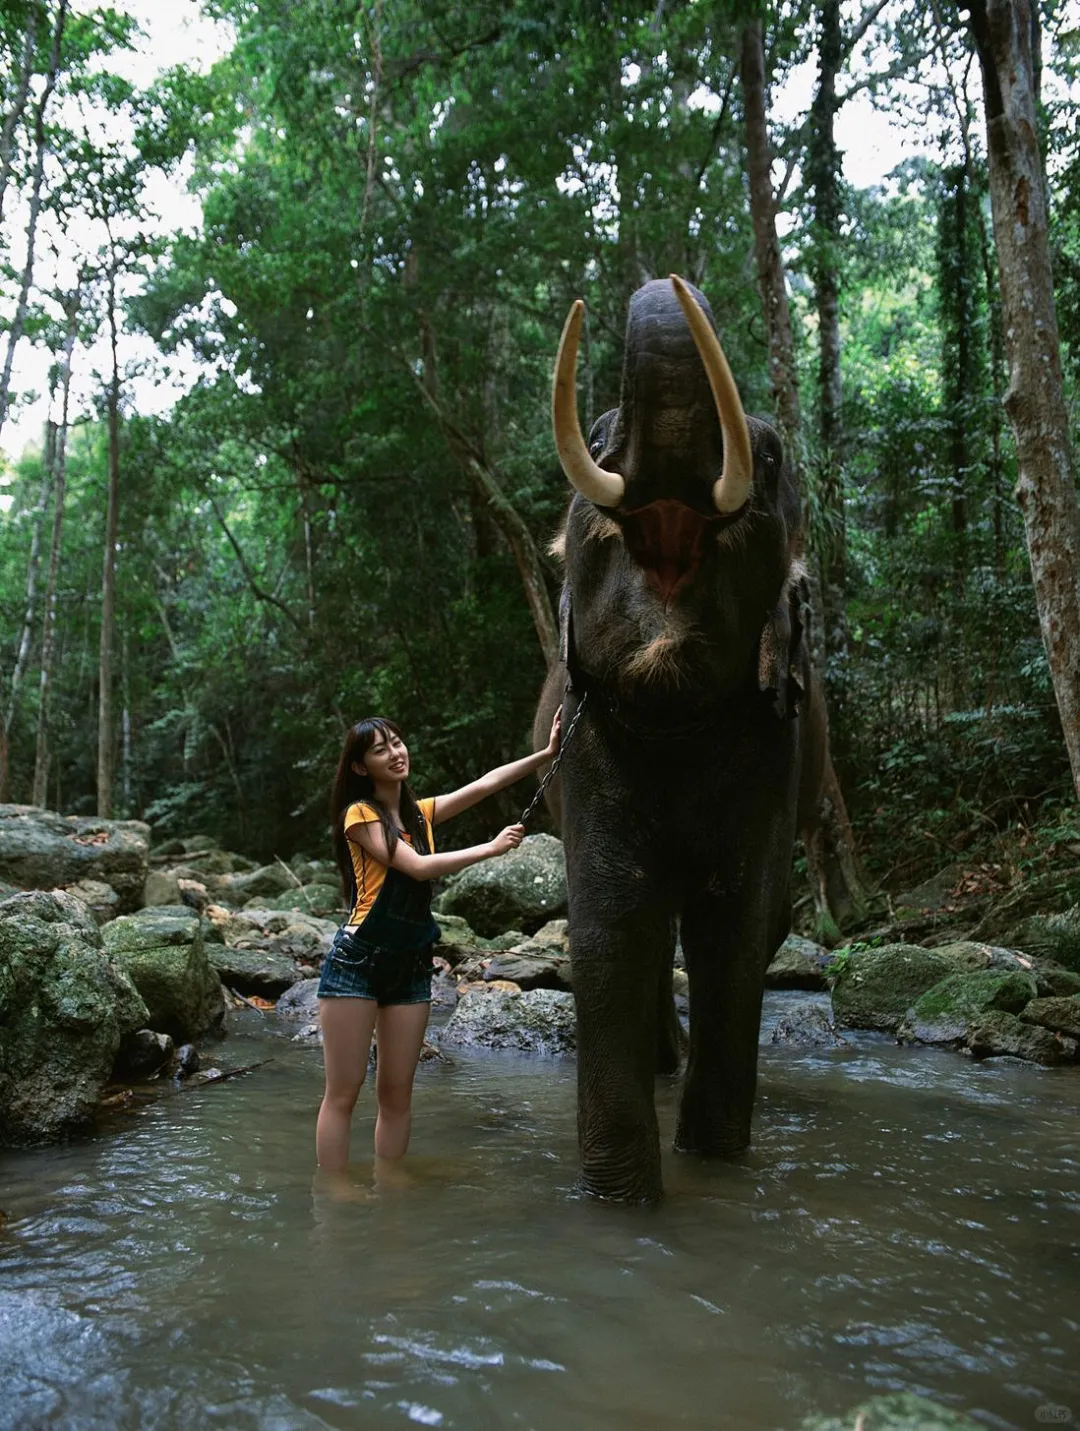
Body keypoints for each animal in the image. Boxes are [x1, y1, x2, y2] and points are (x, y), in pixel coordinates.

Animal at [537, 273, 823, 1202]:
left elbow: (736, 928)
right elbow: (612, 922)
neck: (676, 717)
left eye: (769, 457)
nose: (668, 281)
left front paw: (717, 1159)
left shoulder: (775, 743)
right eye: (594, 438)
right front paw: (624, 1198)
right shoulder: (585, 742)